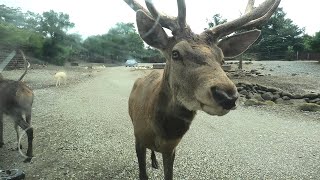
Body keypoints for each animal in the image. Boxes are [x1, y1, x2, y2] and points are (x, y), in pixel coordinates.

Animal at [124, 0, 280, 179]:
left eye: (222, 59)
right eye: (175, 53)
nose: (227, 95)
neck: (160, 132)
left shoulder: (171, 148)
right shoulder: (138, 137)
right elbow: (142, 173)